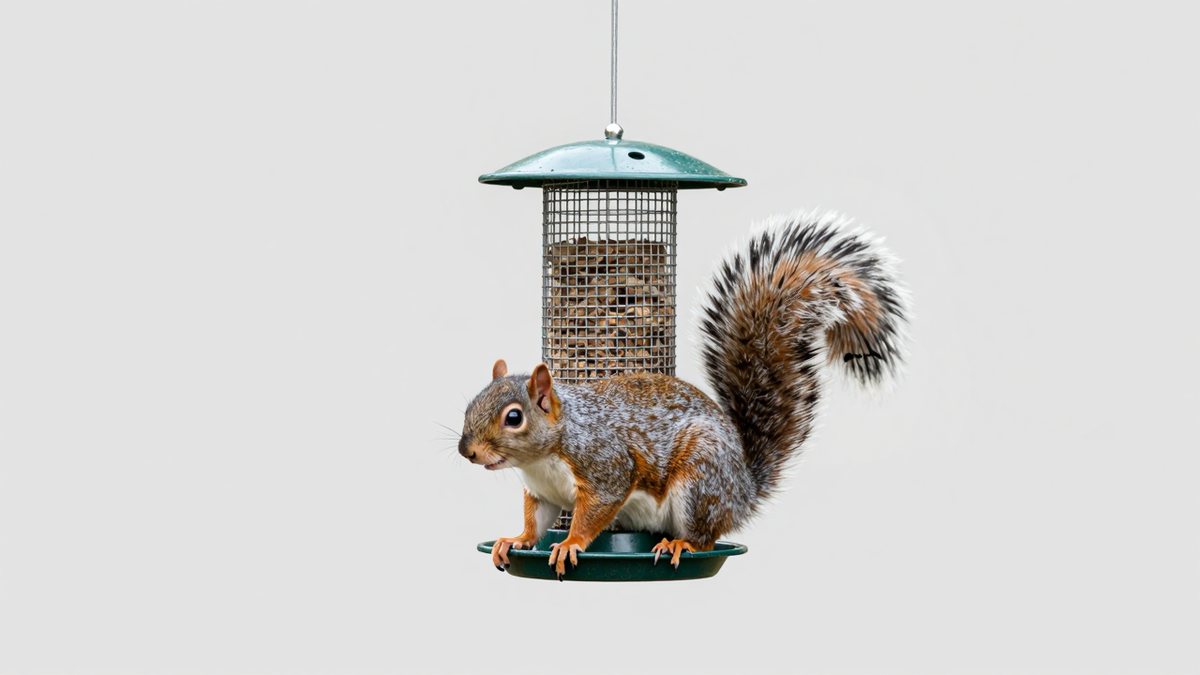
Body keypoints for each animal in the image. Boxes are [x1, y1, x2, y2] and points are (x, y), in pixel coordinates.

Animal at [458, 212, 909, 577]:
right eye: (470, 406)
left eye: (514, 417)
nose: (468, 452)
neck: (545, 456)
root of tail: (742, 491)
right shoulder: (541, 493)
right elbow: (536, 521)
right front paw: (516, 540)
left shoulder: (607, 468)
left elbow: (595, 512)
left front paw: (569, 544)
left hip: (698, 481)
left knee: (704, 537)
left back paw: (679, 544)